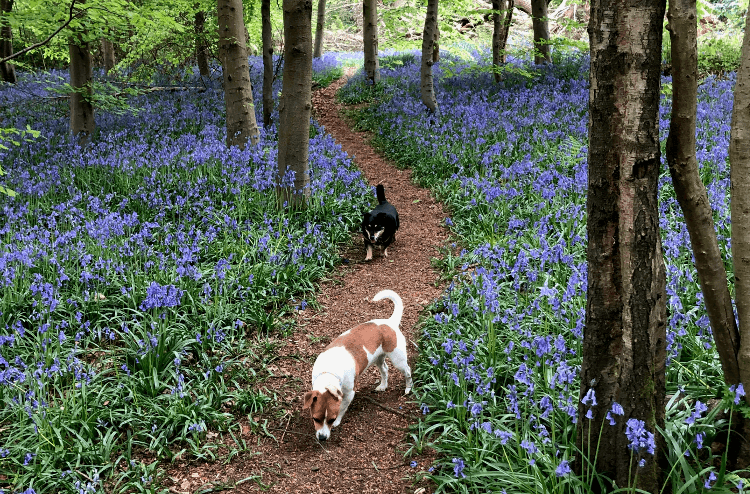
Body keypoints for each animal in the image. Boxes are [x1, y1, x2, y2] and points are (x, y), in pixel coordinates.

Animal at [302, 290, 414, 440]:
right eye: (315, 419)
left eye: (331, 419)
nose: (322, 438)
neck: (330, 372)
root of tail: (390, 322)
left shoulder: (349, 393)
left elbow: (342, 408)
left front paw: (338, 421)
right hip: (378, 358)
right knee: (385, 370)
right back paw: (383, 386)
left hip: (398, 360)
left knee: (407, 371)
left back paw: (408, 388)